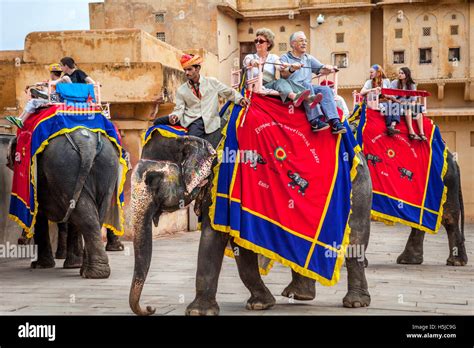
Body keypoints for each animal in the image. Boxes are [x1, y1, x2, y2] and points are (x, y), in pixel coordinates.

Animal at [7, 129, 121, 278]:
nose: (20, 241)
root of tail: (86, 144)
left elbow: (40, 216)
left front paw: (39, 265)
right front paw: (72, 265)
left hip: (64, 168)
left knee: (84, 216)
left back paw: (93, 273)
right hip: (106, 168)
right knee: (92, 215)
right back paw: (90, 271)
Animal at [130, 127, 374, 316]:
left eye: (152, 180)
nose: (150, 308)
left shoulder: (222, 181)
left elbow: (213, 237)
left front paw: (198, 312)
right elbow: (240, 247)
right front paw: (261, 304)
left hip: (359, 191)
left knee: (355, 241)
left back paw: (355, 302)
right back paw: (299, 295)